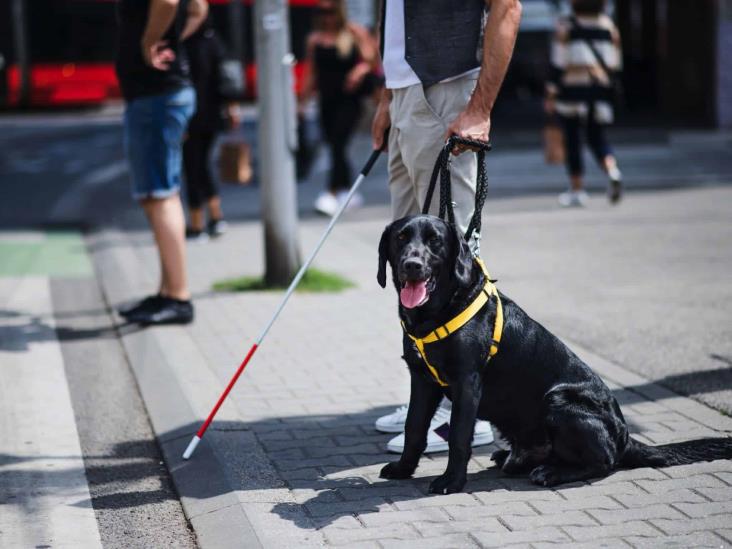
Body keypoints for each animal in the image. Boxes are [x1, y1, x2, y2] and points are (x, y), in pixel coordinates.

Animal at [378, 213, 732, 492]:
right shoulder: (422, 380)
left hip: (559, 400)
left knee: (605, 462)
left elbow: (459, 437)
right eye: (401, 238)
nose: (412, 265)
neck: (436, 313)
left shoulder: (467, 382)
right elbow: (413, 427)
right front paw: (403, 469)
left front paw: (451, 481)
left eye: (435, 241)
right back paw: (513, 457)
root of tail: (625, 438)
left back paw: (551, 472)